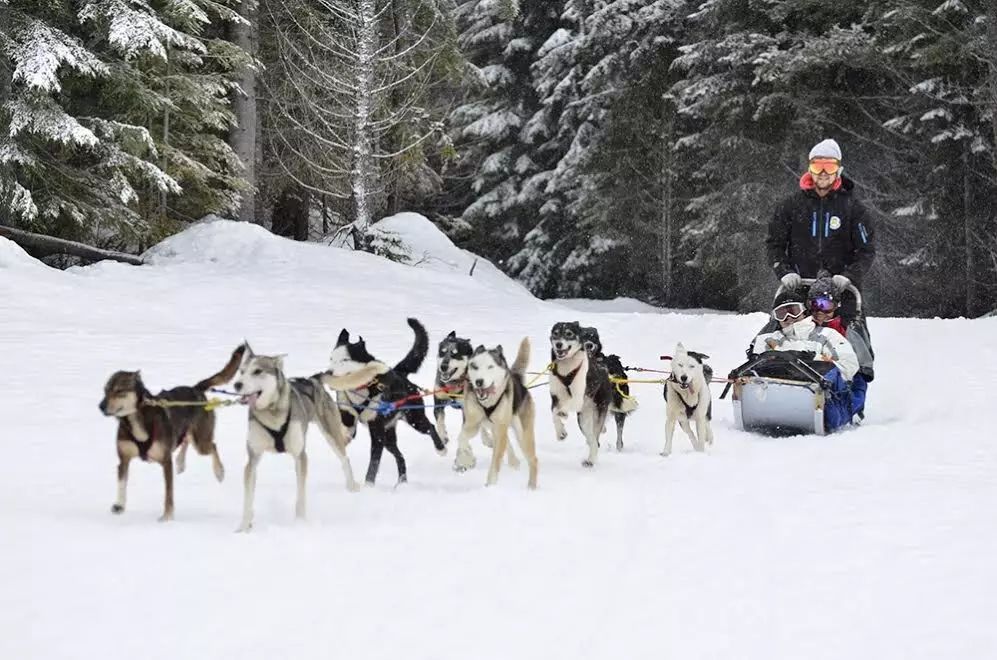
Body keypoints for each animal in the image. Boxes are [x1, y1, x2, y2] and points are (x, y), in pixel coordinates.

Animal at [98, 348, 245, 524]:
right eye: (105, 390)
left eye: (119, 391)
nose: (101, 406)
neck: (136, 421)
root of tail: (196, 389)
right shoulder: (124, 459)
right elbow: (122, 483)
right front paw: (119, 505)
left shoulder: (165, 462)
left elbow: (169, 494)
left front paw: (167, 516)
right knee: (185, 440)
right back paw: (181, 462)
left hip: (201, 442)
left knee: (212, 446)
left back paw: (219, 471)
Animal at [232, 346, 386, 532]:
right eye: (241, 371)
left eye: (257, 371)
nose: (237, 384)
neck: (273, 414)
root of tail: (312, 379)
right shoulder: (253, 459)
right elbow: (248, 498)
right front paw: (244, 527)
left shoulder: (300, 456)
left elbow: (300, 495)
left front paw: (299, 522)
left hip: (331, 433)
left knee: (344, 459)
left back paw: (351, 486)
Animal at [328, 318, 446, 488]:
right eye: (331, 358)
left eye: (345, 359)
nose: (328, 373)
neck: (363, 389)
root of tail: (399, 373)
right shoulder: (349, 422)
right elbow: (344, 436)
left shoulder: (376, 433)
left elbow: (373, 463)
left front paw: (368, 487)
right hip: (389, 437)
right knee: (400, 456)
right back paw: (402, 482)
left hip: (414, 420)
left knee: (430, 427)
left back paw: (441, 448)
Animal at [452, 338, 536, 488]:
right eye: (474, 366)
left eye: (490, 367)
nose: (479, 382)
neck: (488, 403)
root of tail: (517, 380)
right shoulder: (472, 423)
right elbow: (461, 438)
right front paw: (464, 459)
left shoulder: (500, 429)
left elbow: (496, 461)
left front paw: (490, 485)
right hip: (492, 426)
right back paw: (513, 462)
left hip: (523, 435)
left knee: (533, 460)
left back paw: (531, 487)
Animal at [548, 320, 612, 466]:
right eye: (555, 334)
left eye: (568, 334)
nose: (558, 344)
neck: (566, 370)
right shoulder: (555, 398)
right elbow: (554, 414)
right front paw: (560, 432)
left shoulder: (578, 397)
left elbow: (565, 406)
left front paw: (563, 413)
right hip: (582, 420)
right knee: (591, 439)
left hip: (597, 412)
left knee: (595, 440)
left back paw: (591, 460)